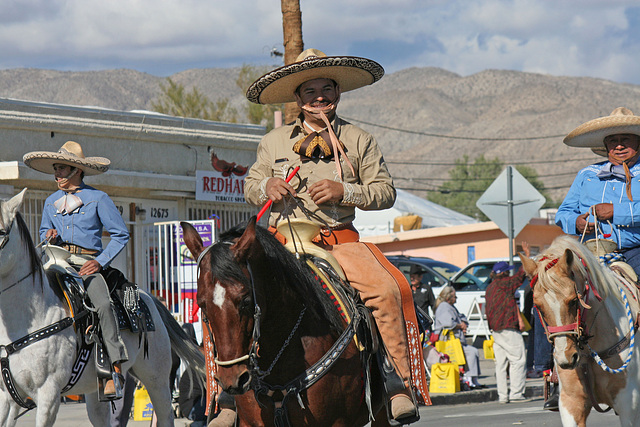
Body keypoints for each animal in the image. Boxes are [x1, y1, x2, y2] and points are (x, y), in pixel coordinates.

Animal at [0, 191, 205, 427]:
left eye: (2, 232)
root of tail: (149, 298)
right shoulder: (8, 398)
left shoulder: (48, 395)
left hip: (157, 379)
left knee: (164, 414)